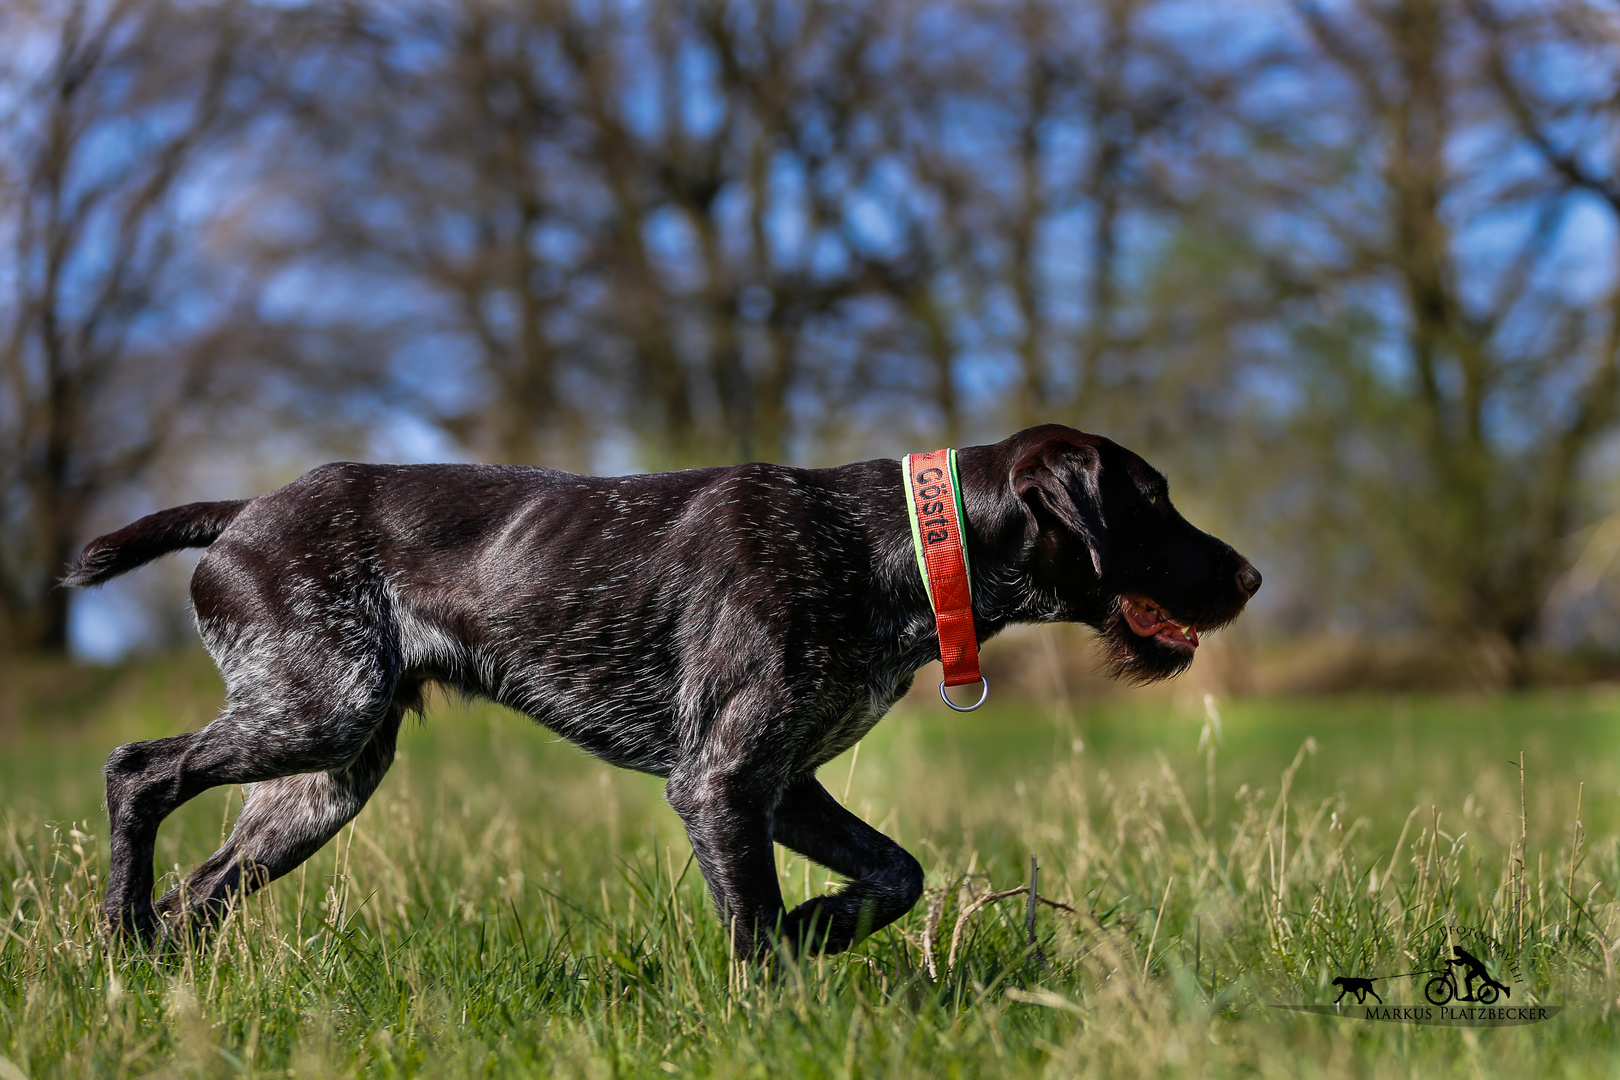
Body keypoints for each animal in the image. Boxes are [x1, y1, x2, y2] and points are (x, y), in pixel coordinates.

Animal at [69, 427, 1257, 958]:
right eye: (1151, 499)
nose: (1249, 576)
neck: (893, 548)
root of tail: (243, 514)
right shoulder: (722, 781)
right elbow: (754, 933)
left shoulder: (781, 783)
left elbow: (897, 874)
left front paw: (824, 928)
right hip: (316, 710)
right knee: (136, 772)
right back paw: (120, 935)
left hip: (322, 779)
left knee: (200, 888)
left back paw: (154, 968)